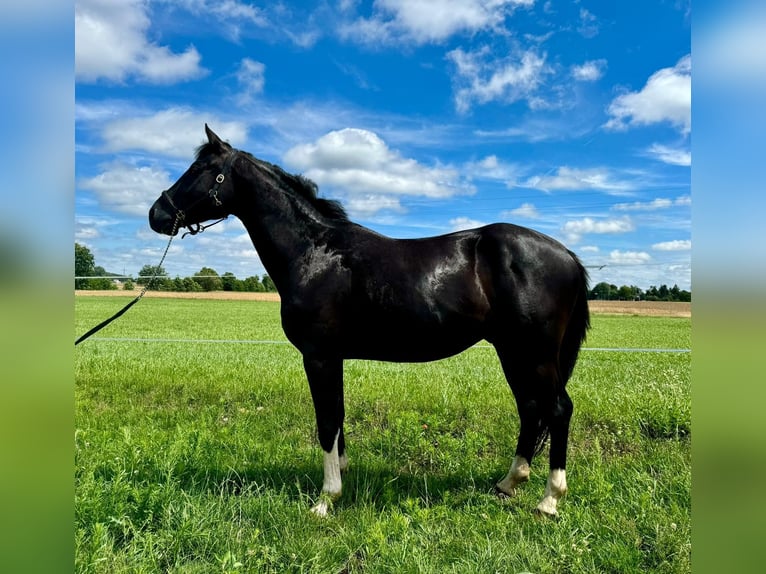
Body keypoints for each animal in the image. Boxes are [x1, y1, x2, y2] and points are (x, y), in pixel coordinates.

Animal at [152, 125, 592, 516]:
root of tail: (568, 255)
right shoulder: (333, 358)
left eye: (201, 169)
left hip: (534, 353)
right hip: (513, 351)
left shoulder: (319, 356)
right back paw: (508, 483)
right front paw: (342, 474)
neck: (314, 252)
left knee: (557, 409)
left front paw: (326, 499)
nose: (156, 214)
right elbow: (338, 416)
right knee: (531, 408)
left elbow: (327, 420)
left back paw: (549, 500)